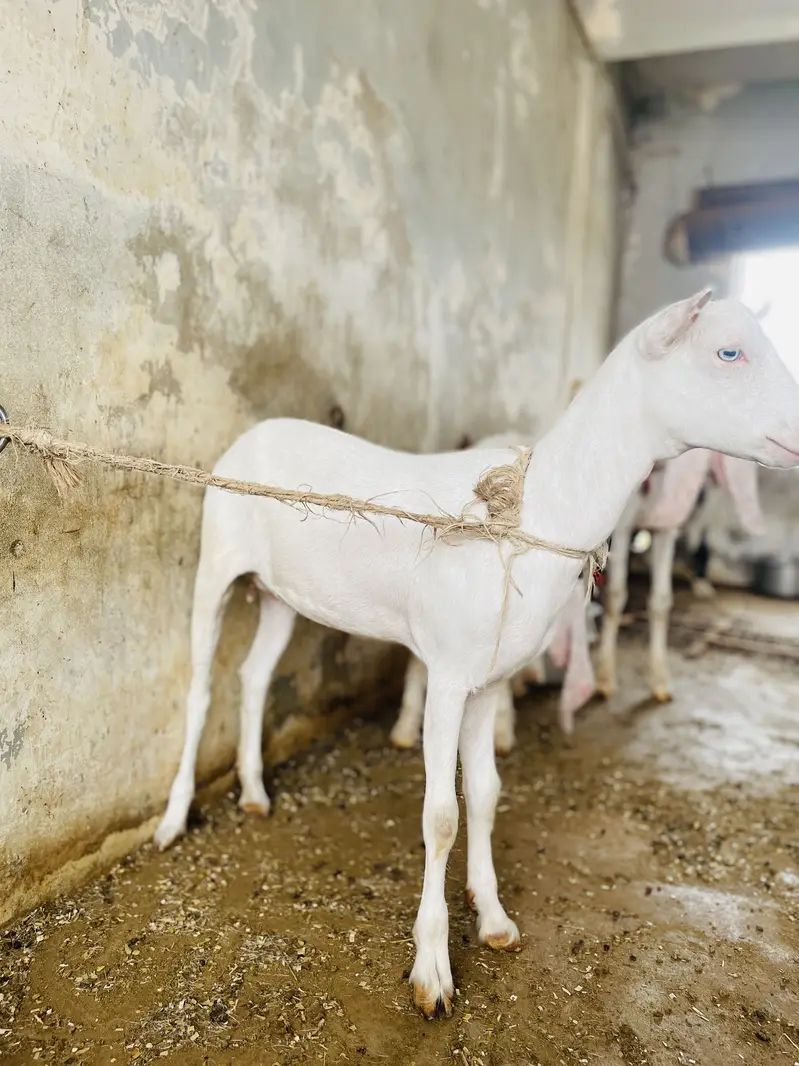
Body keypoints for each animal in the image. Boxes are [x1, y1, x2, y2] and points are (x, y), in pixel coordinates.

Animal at [595, 448, 765, 702]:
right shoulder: (622, 527)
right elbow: (615, 596)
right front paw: (605, 677)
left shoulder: (666, 526)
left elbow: (661, 600)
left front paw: (660, 679)